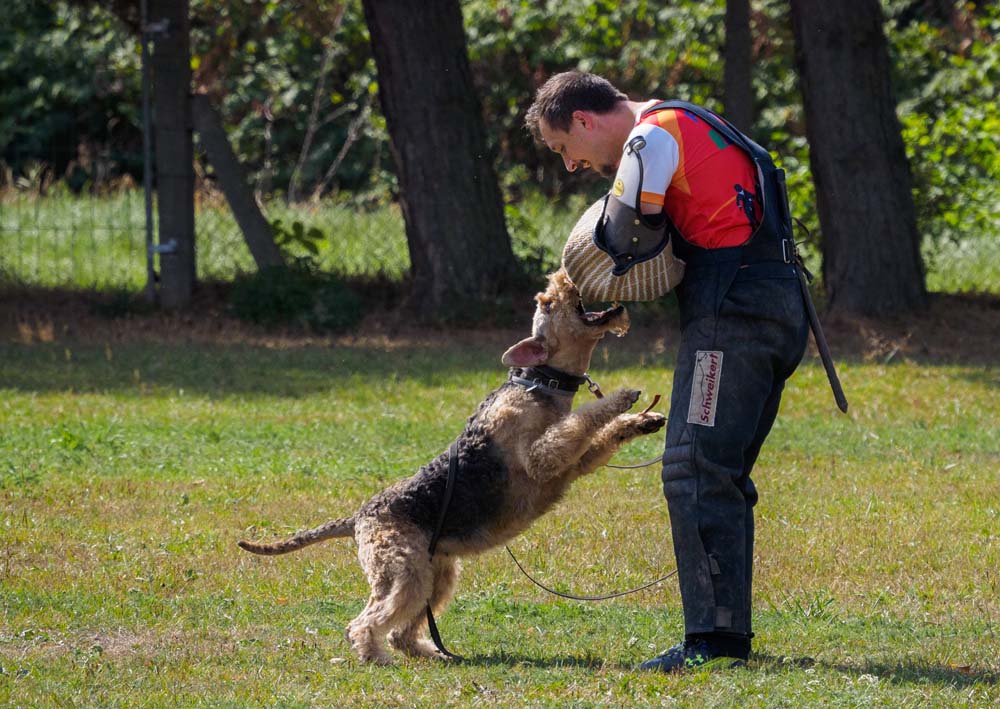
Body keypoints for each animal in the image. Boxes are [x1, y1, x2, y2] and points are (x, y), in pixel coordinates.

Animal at [236, 268, 664, 660]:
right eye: (546, 302)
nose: (561, 276)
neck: (537, 383)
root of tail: (357, 518)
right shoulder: (543, 458)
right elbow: (583, 419)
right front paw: (626, 395)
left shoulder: (573, 464)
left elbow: (600, 434)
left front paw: (646, 420)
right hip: (404, 572)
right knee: (365, 622)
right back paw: (375, 656)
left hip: (435, 574)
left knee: (400, 631)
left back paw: (433, 653)